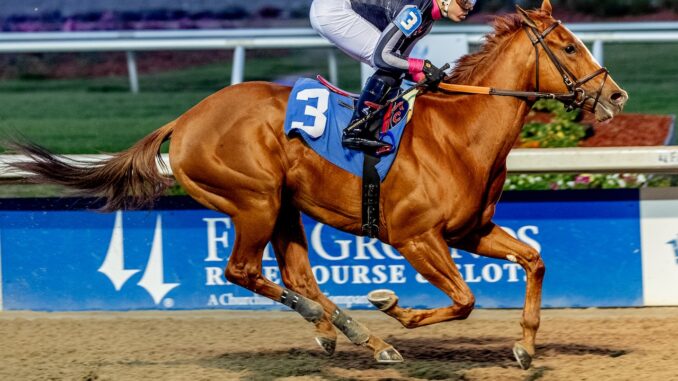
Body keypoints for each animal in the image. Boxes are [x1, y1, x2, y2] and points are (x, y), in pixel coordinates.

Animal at [7, 0, 628, 368]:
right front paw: (393, 306)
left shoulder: (470, 230)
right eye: (568, 46)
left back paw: (349, 332)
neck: (460, 132)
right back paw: (351, 329)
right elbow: (464, 299)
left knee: (296, 274)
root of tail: (184, 120)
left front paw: (524, 346)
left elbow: (533, 261)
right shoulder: (415, 237)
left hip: (283, 204)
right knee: (243, 271)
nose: (616, 95)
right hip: (253, 200)